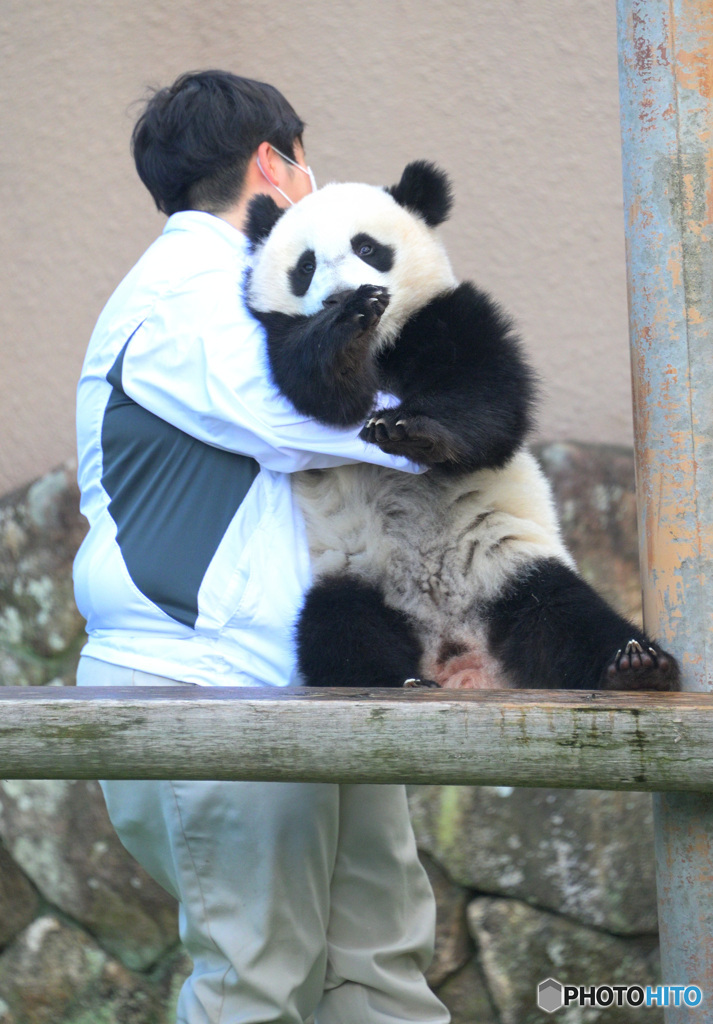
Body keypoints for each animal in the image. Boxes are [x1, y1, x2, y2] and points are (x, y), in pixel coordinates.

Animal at [243, 163, 680, 692]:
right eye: (305, 266)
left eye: (367, 248)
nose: (341, 295)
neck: (381, 345)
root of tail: (461, 661)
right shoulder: (276, 336)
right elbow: (319, 390)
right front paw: (347, 326)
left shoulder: (447, 314)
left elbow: (490, 402)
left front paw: (411, 429)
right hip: (354, 576)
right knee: (340, 629)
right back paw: (400, 680)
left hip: (508, 567)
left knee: (565, 615)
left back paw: (635, 665)